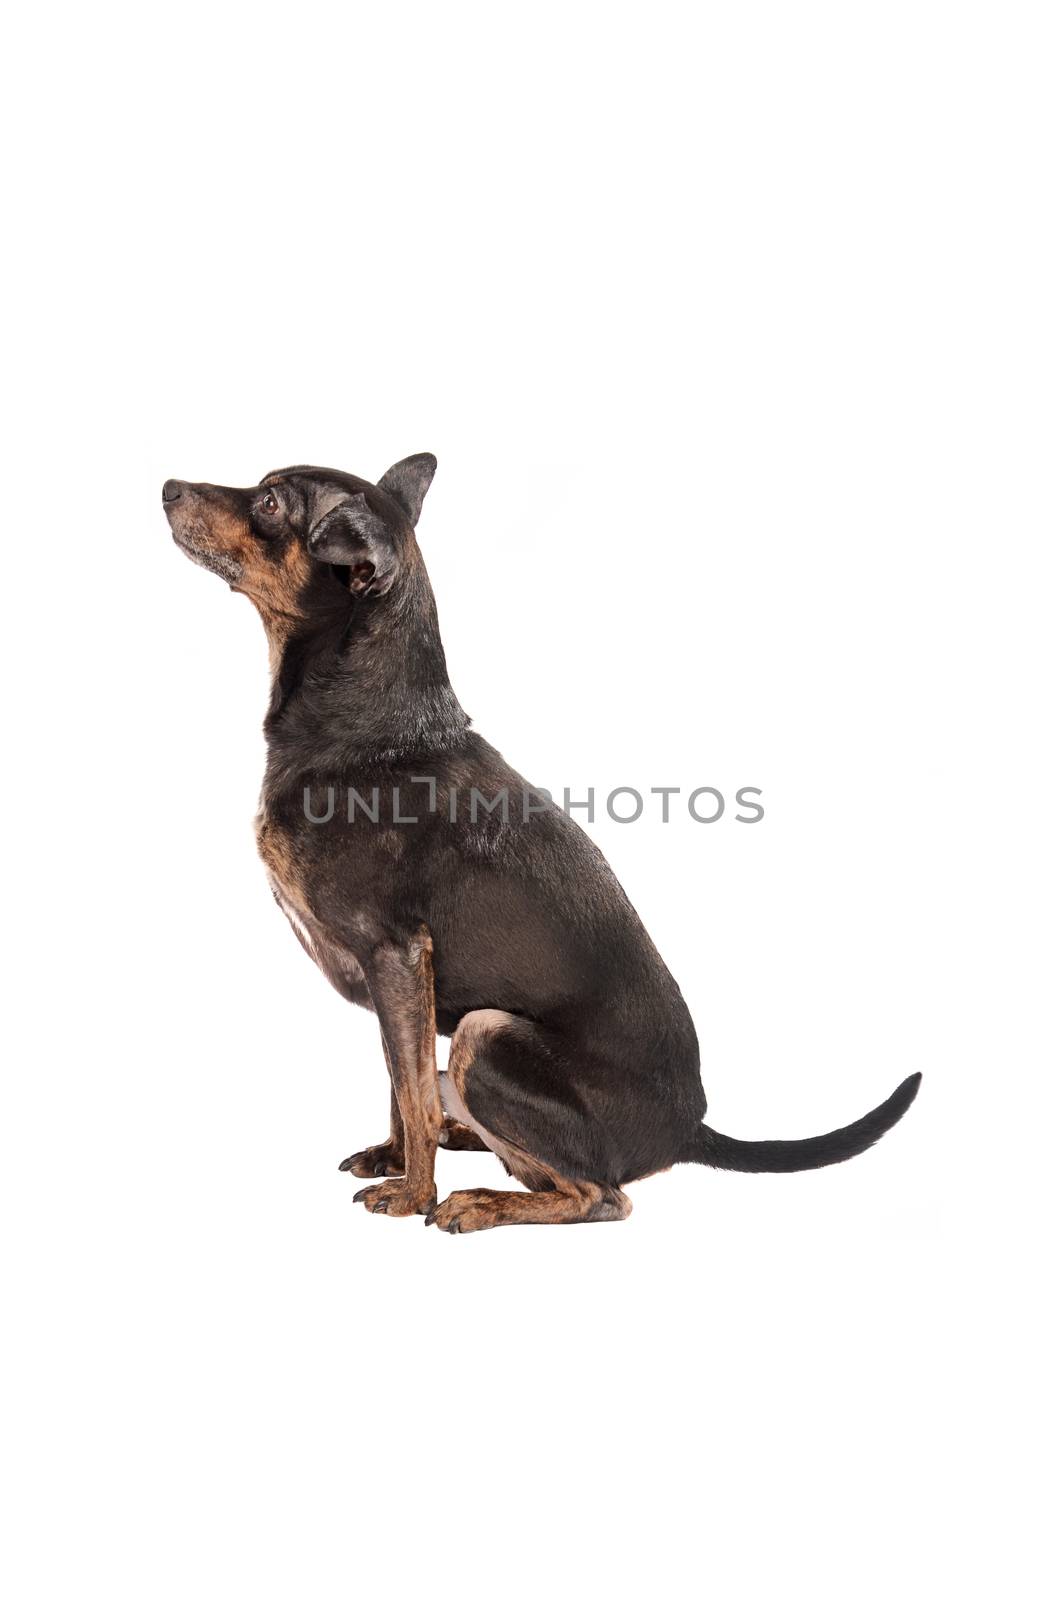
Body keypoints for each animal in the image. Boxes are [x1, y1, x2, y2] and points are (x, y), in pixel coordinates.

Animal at [164, 457, 922, 1228]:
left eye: (270, 502)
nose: (167, 487)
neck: (372, 729)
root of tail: (688, 1131)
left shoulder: (397, 956)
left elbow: (409, 1089)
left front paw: (412, 1193)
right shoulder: (396, 986)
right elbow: (399, 1081)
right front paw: (395, 1155)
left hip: (486, 1034)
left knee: (600, 1195)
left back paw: (478, 1200)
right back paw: (466, 1139)